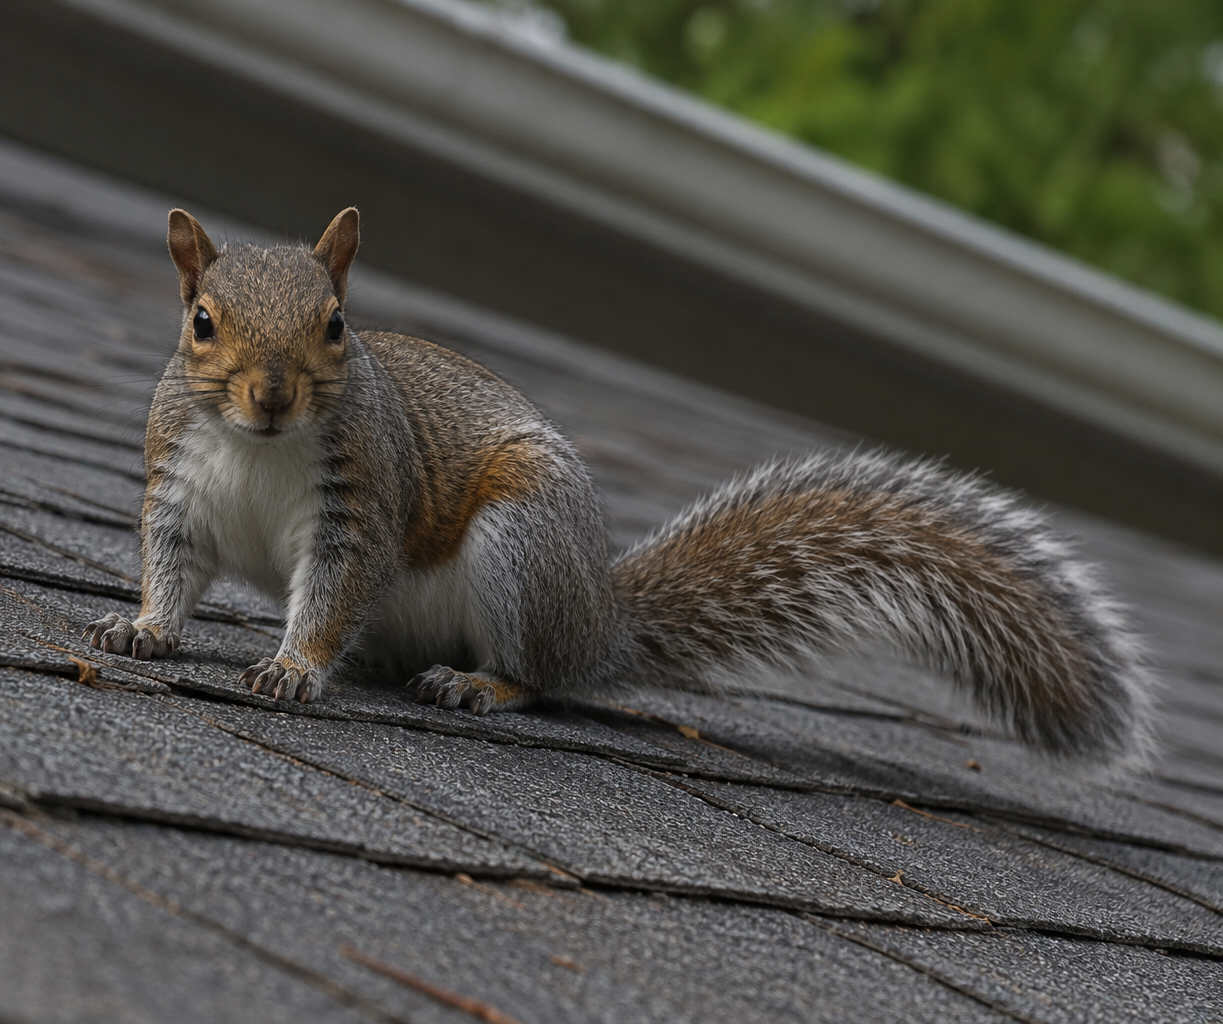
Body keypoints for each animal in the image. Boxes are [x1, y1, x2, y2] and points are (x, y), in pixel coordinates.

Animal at [84, 207, 1155, 765]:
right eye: (201, 322)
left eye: (338, 325)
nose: (270, 396)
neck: (259, 448)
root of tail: (599, 620)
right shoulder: (179, 488)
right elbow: (172, 569)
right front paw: (144, 628)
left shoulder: (362, 502)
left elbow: (333, 593)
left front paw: (295, 667)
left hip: (520, 544)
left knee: (537, 676)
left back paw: (476, 682)